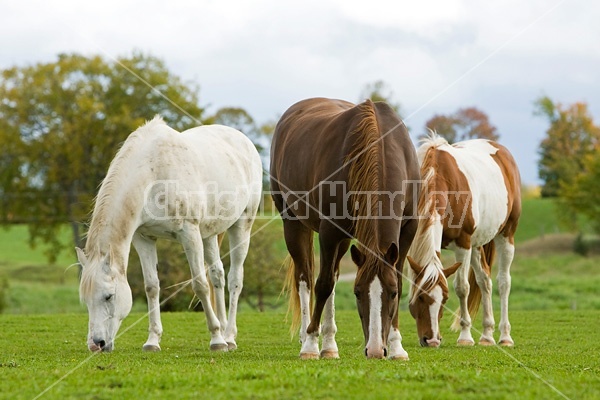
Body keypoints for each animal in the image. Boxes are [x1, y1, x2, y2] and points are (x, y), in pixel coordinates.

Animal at [76, 116, 262, 354]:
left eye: (109, 296)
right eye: (86, 300)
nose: (96, 344)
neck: (153, 174)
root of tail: (243, 140)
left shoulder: (189, 234)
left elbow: (200, 285)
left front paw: (216, 339)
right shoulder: (143, 238)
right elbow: (151, 287)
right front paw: (152, 341)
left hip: (242, 225)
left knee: (234, 279)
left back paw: (228, 335)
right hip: (209, 234)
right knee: (218, 276)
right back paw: (224, 331)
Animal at [270, 97, 420, 360]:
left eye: (391, 293)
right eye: (357, 292)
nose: (375, 350)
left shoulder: (408, 230)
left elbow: (399, 281)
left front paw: (396, 347)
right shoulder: (329, 232)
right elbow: (323, 285)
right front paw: (310, 343)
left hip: (344, 240)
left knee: (334, 275)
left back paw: (329, 345)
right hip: (292, 222)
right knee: (306, 277)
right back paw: (307, 337)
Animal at [408, 134, 520, 346]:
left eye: (444, 299)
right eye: (420, 297)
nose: (431, 340)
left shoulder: (463, 244)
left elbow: (462, 288)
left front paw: (465, 336)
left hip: (505, 235)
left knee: (504, 282)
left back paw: (505, 336)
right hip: (476, 244)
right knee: (485, 281)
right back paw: (487, 335)